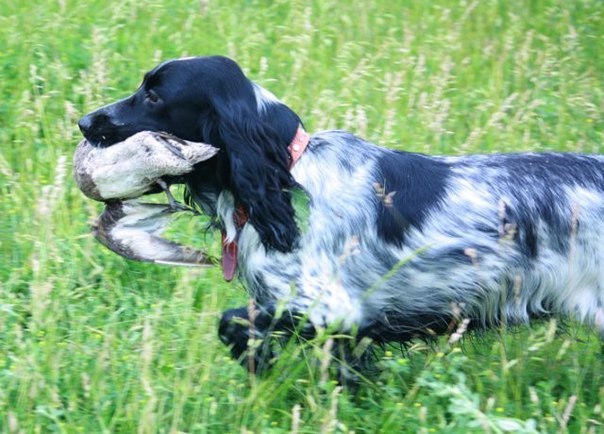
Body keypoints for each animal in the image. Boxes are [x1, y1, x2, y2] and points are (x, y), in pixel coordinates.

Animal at [79, 55, 604, 377]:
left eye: (154, 96)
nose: (84, 122)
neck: (286, 178)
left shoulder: (333, 310)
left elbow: (232, 321)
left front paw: (260, 363)